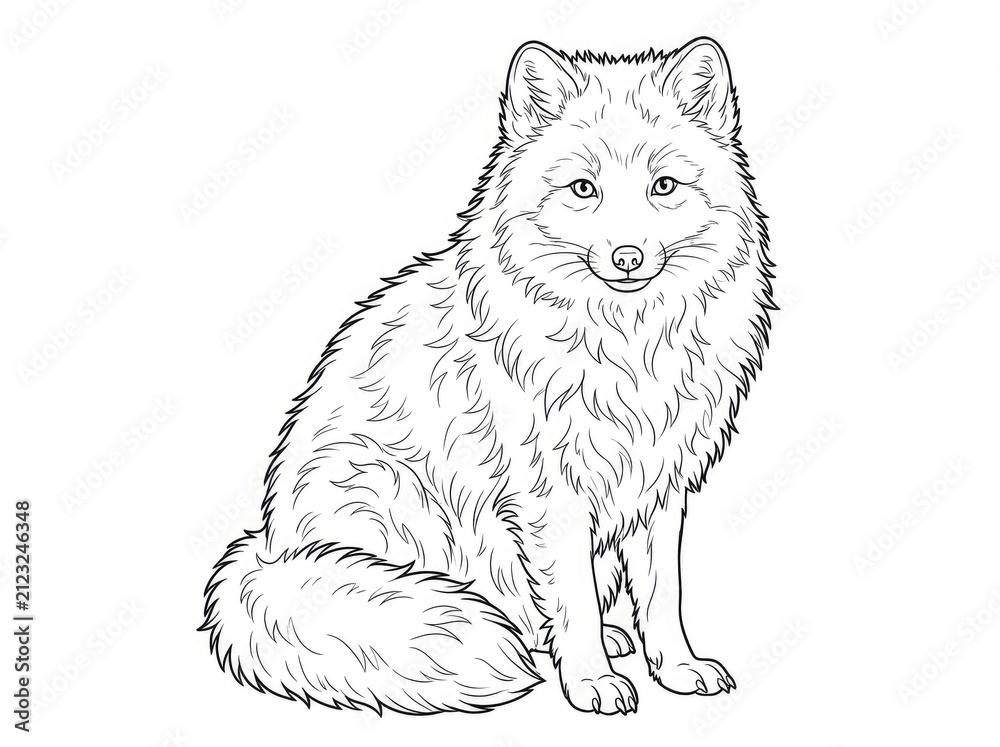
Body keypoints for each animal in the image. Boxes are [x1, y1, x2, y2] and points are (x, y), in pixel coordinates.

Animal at [202, 37, 775, 715]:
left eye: (664, 187)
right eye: (583, 189)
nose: (627, 258)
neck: (625, 345)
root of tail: (269, 550)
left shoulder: (659, 487)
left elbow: (663, 595)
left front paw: (677, 668)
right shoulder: (553, 498)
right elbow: (575, 601)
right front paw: (591, 680)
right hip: (401, 507)